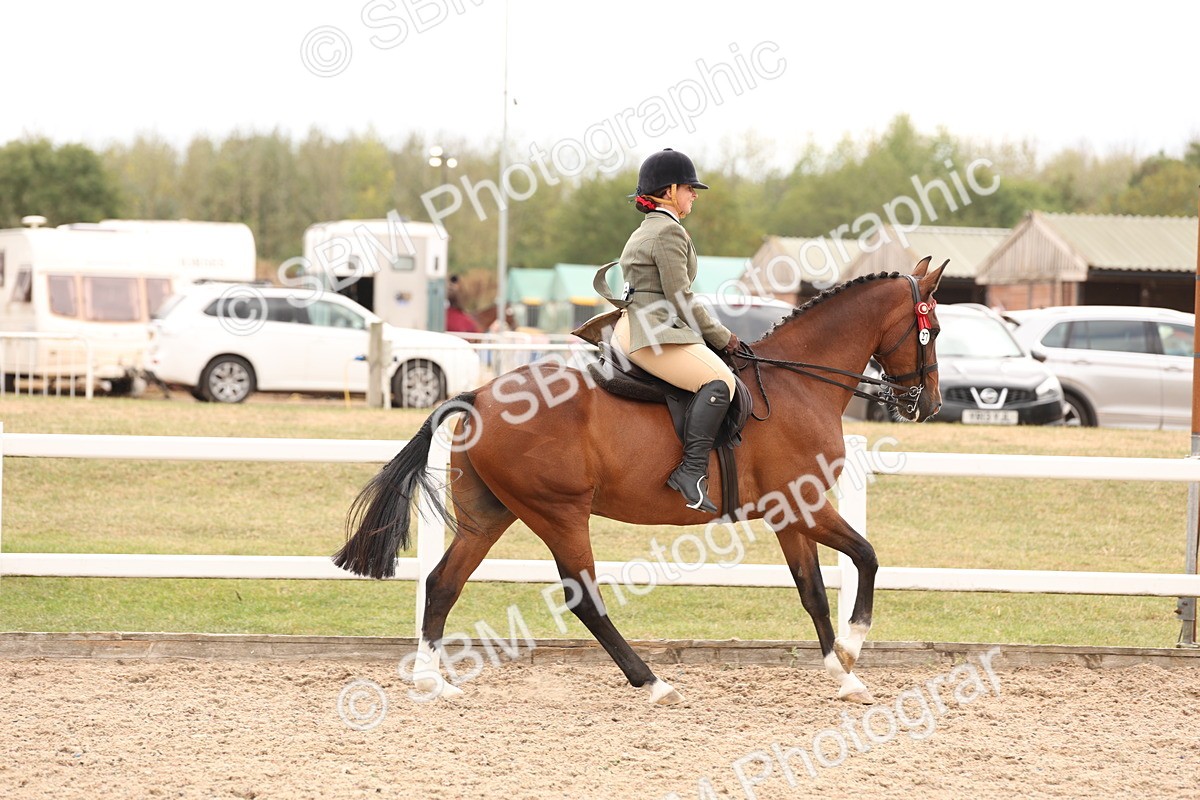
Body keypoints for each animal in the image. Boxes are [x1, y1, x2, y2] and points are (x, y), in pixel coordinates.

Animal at [334, 257, 947, 705]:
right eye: (934, 329)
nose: (930, 405)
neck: (798, 385)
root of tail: (480, 395)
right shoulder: (806, 506)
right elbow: (866, 556)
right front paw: (854, 647)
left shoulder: (791, 514)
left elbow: (814, 592)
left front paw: (842, 673)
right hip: (559, 513)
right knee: (584, 599)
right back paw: (653, 684)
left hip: (489, 514)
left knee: (443, 583)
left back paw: (431, 680)